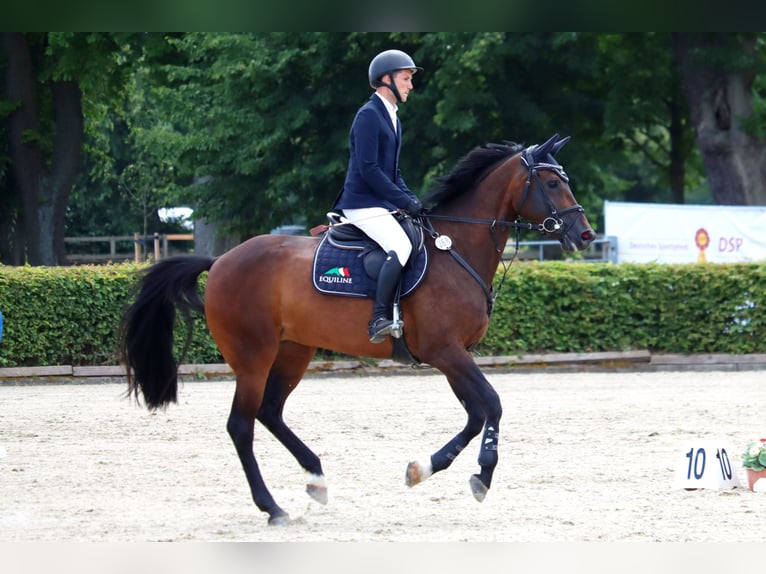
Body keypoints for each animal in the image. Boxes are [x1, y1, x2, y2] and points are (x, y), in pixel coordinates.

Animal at [121, 134, 600, 528]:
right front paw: (482, 476)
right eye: (551, 184)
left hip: (294, 349)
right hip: (253, 356)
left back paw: (316, 478)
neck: (456, 248)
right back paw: (273, 507)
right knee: (242, 425)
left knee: (270, 412)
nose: (586, 235)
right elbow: (493, 405)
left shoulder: (452, 355)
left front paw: (422, 469)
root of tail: (220, 261)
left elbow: (476, 413)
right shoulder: (447, 352)